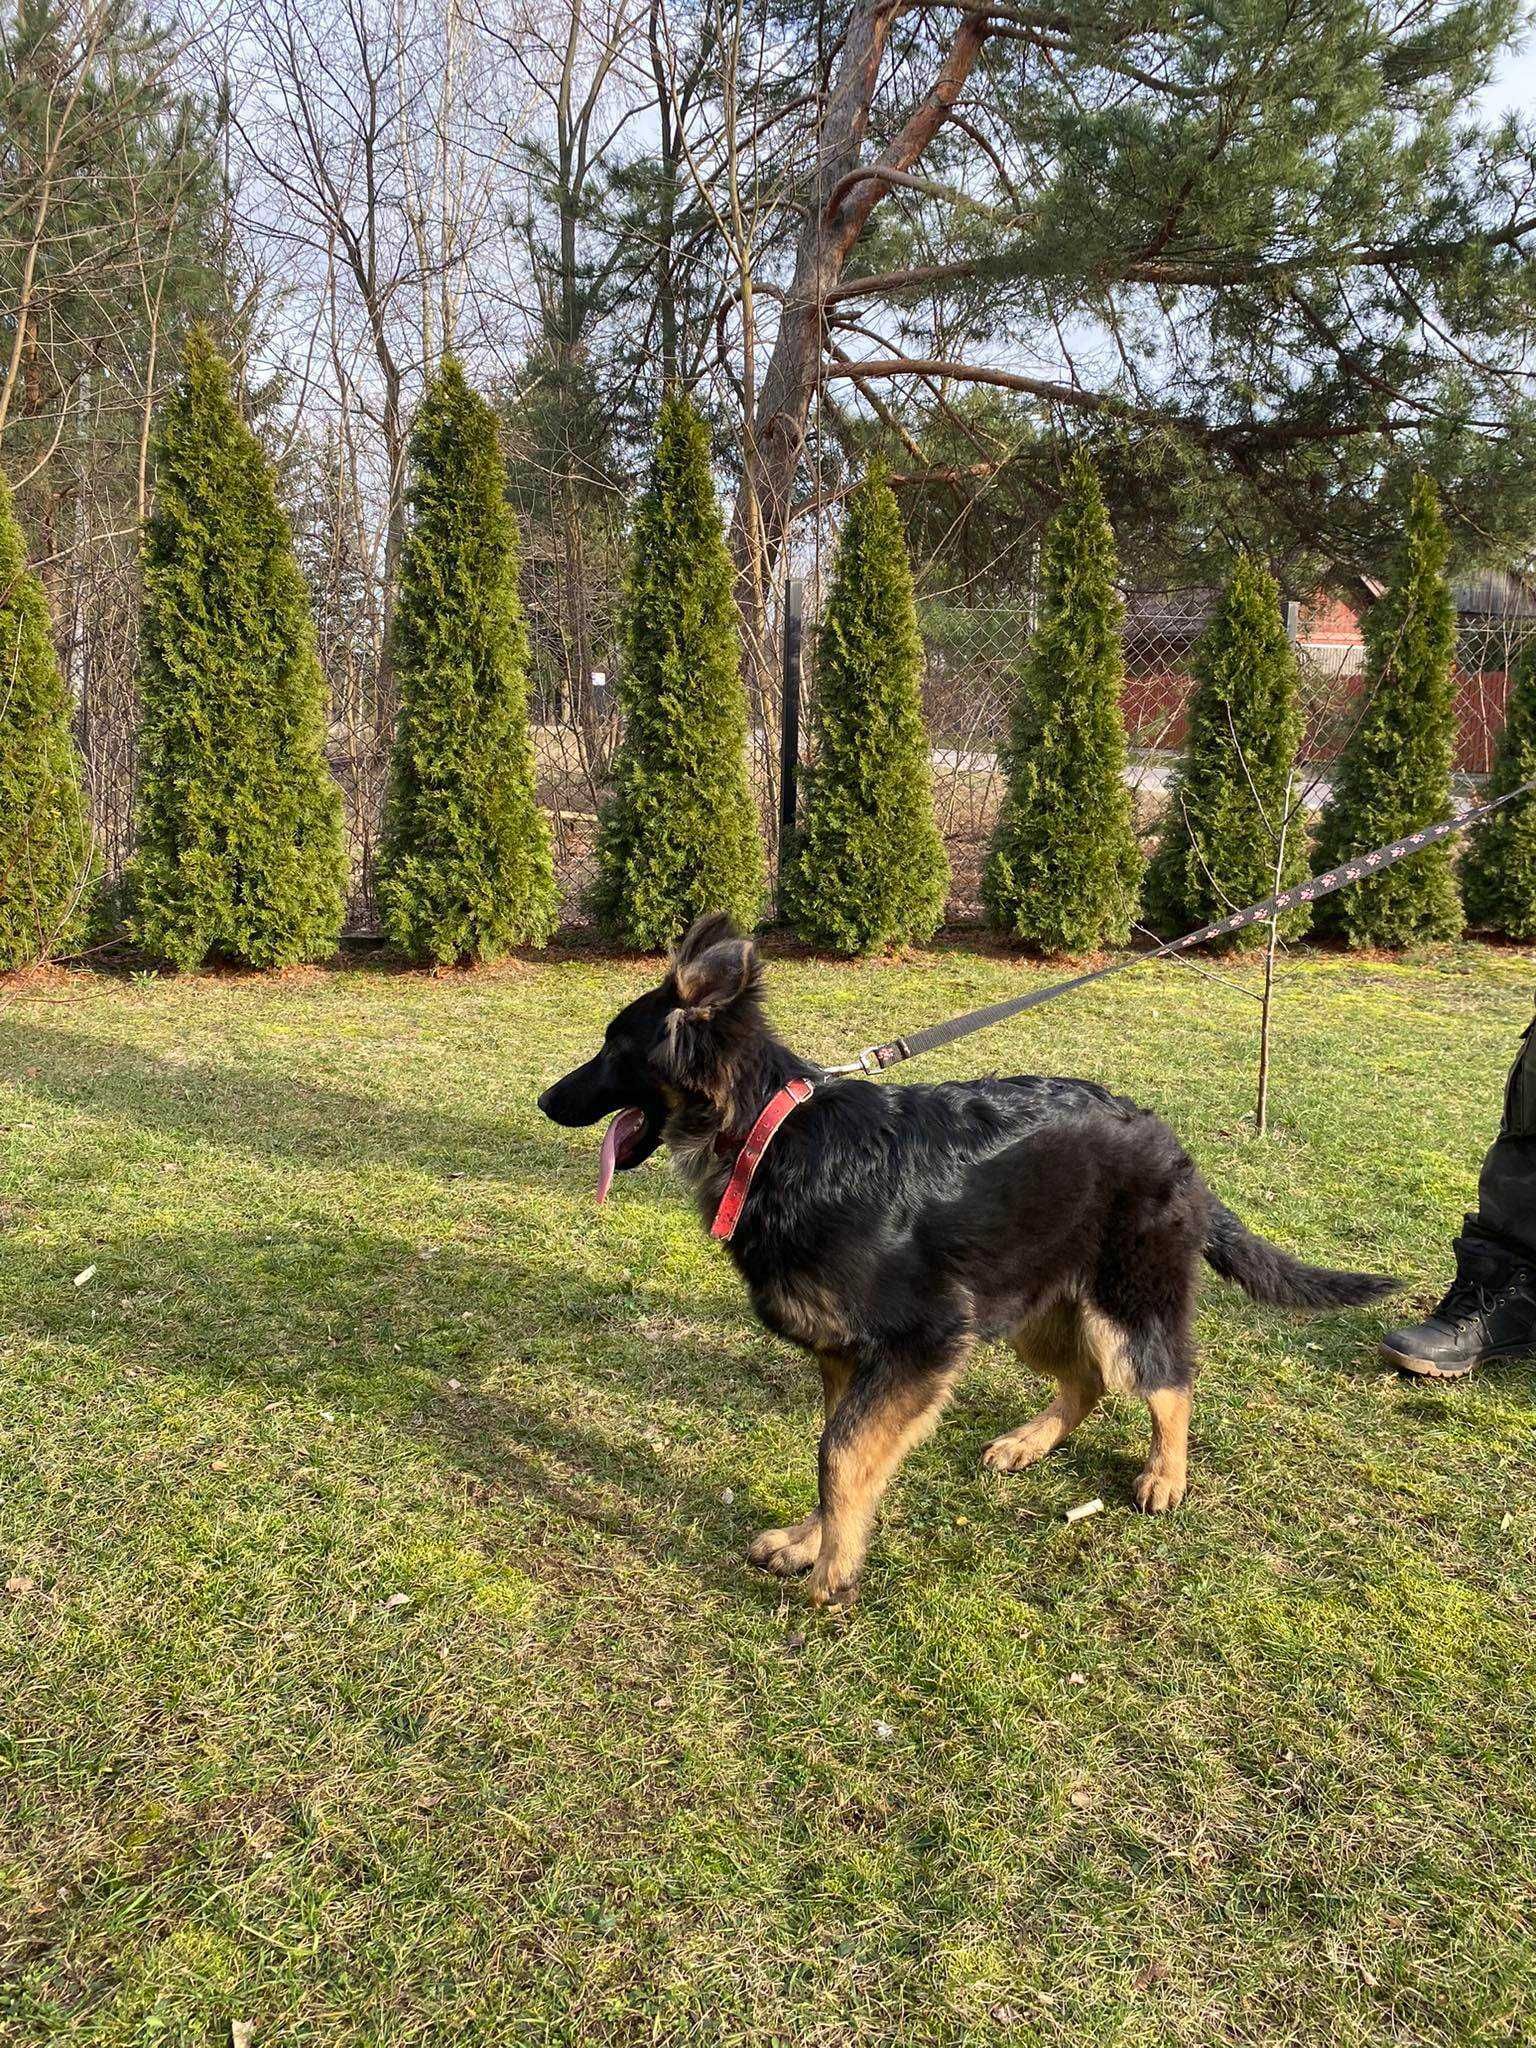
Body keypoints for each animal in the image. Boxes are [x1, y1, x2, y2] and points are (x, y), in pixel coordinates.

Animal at [536, 921, 1392, 1605]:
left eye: (615, 1049)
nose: (544, 1102)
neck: (769, 1137)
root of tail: (1164, 1135)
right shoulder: (851, 1357)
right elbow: (840, 1457)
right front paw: (814, 1541)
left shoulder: (919, 1342)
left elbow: (841, 1454)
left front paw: (834, 1572)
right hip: (1028, 1309)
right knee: (1085, 1381)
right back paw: (1029, 1442)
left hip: (1124, 1301)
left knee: (1168, 1381)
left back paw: (1165, 1474)